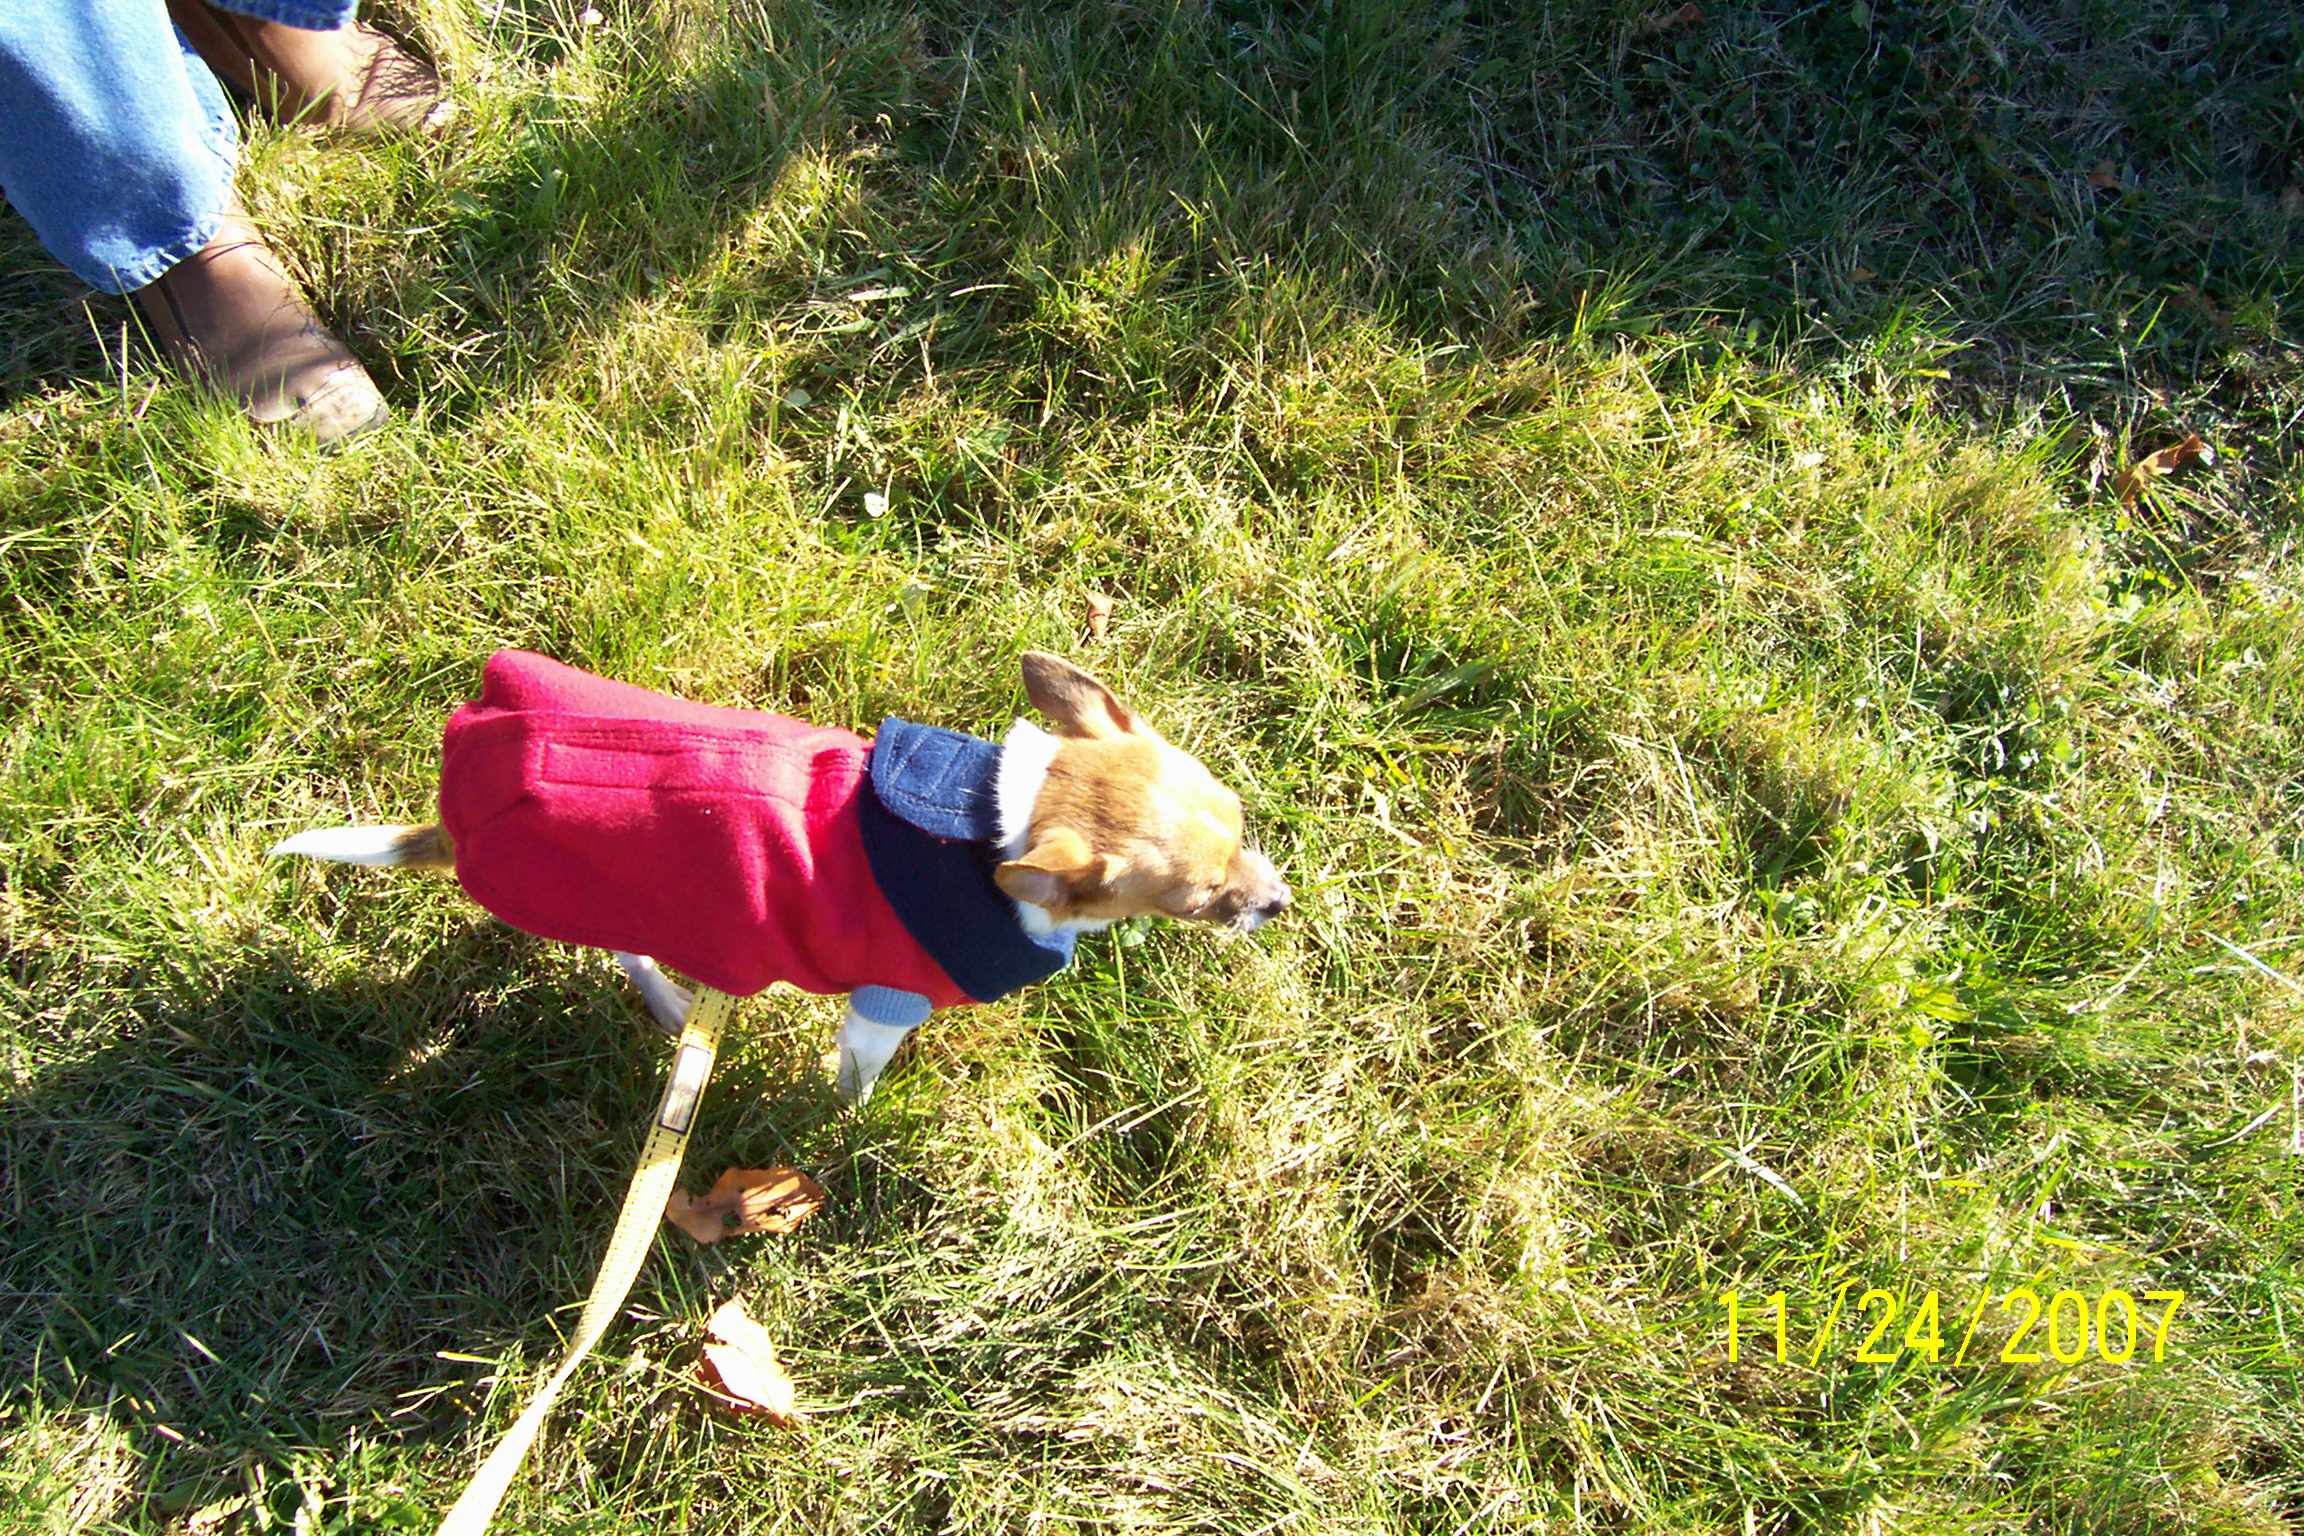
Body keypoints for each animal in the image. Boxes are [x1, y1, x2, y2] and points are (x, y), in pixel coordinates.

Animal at [271, 650, 1289, 1104]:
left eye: (1242, 820)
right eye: (1202, 901)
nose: (1278, 902)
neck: (1000, 816)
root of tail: (459, 816)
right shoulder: (884, 1003)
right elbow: (859, 1074)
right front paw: (855, 1113)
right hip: (610, 903)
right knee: (623, 953)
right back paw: (673, 1003)